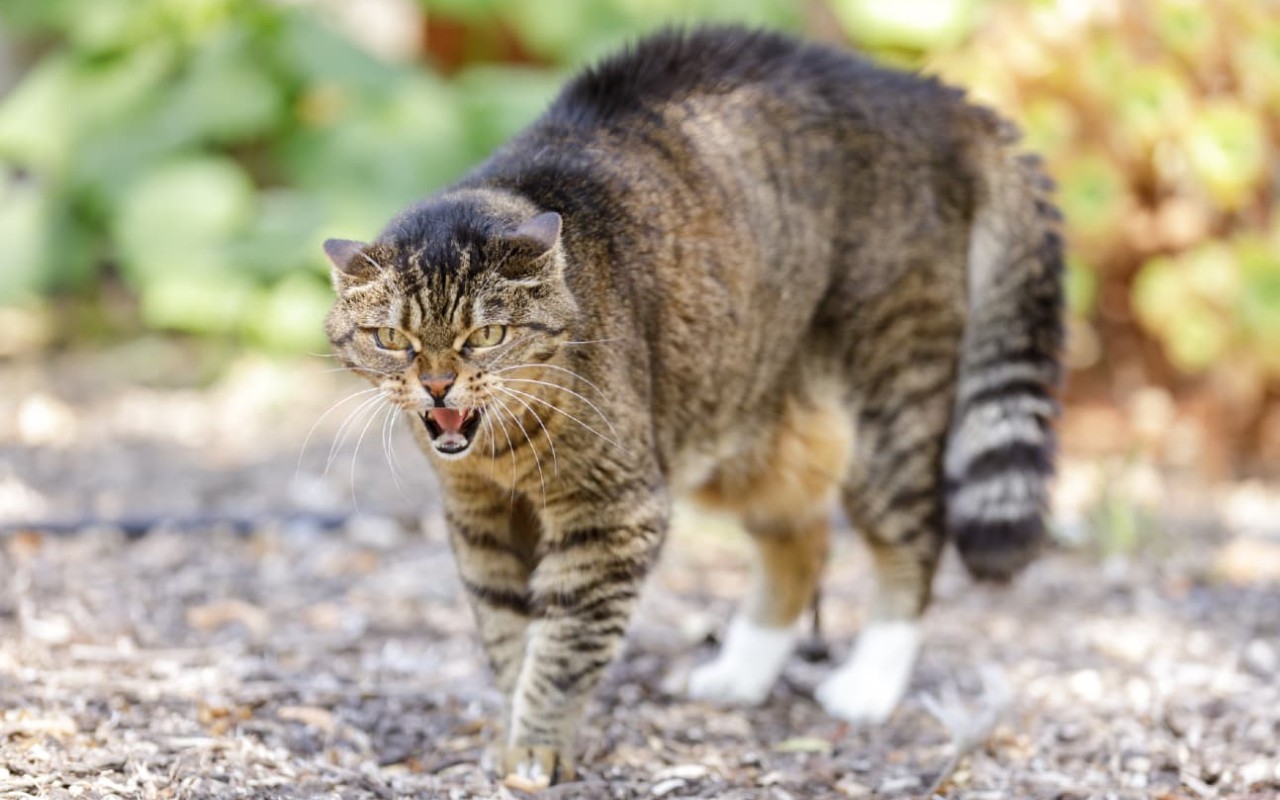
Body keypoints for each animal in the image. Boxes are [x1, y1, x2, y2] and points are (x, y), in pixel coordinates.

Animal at [325, 24, 1064, 788]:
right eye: (393, 340)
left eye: (486, 337)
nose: (438, 385)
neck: (503, 452)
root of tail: (934, 96)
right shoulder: (481, 520)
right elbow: (507, 635)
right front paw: (510, 730)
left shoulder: (611, 513)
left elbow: (561, 648)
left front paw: (536, 746)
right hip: (741, 418)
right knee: (803, 541)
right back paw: (741, 671)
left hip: (891, 405)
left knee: (914, 538)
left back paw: (870, 682)